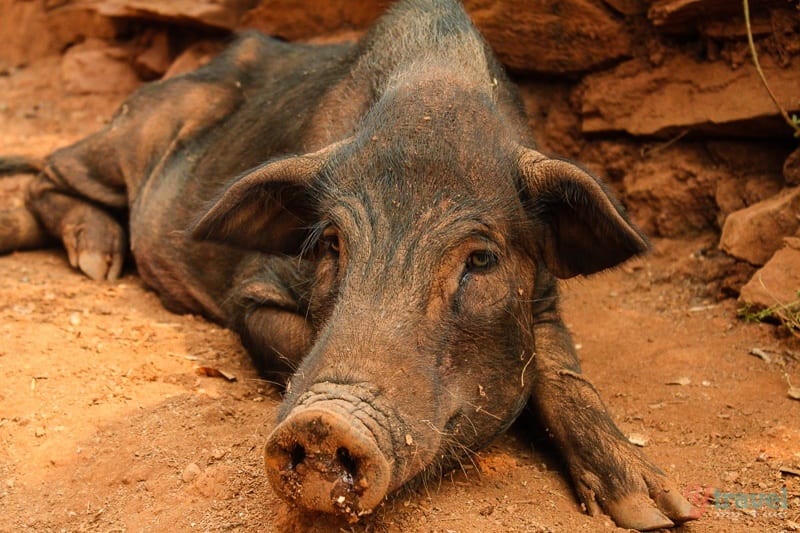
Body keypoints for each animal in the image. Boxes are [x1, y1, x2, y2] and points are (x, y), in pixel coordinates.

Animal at [0, 0, 692, 528]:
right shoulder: (253, 288)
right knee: (46, 175)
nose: (323, 421)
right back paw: (96, 261)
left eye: (482, 258)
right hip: (128, 136)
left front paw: (659, 513)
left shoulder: (546, 298)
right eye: (331, 243)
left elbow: (565, 375)